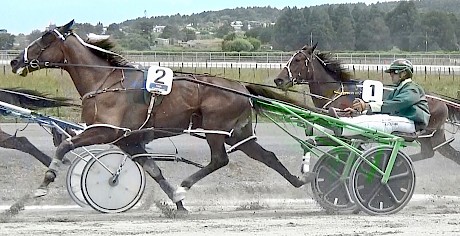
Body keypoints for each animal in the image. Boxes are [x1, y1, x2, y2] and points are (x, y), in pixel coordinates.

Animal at [9, 20, 312, 212]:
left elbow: (64, 145)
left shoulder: (105, 130)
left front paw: (43, 185)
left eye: (45, 38)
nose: (14, 60)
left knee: (220, 160)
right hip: (237, 133)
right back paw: (302, 181)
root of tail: (241, 86)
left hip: (215, 128)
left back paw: (186, 185)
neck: (105, 81)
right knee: (266, 156)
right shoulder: (128, 140)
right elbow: (154, 170)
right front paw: (177, 204)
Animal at [274, 44, 460, 164]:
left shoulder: (346, 135)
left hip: (427, 134)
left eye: (298, 60)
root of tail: (441, 100)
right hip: (434, 136)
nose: (278, 80)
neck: (337, 93)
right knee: (438, 154)